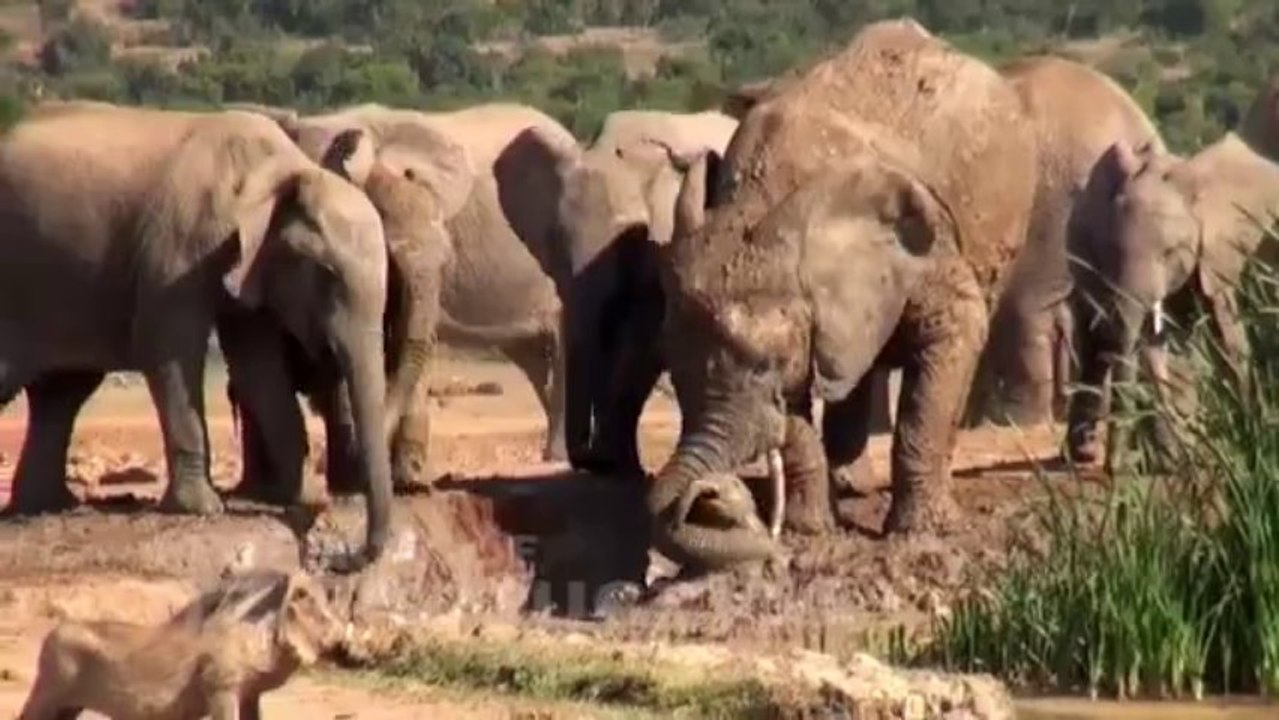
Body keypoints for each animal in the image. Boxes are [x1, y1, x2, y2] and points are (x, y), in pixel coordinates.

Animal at [0, 101, 393, 564]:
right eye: (326, 273)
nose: (344, 557)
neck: (279, 170)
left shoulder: (249, 264)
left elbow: (257, 366)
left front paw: (308, 498)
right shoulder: (179, 250)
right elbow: (169, 350)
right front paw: (203, 509)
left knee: (63, 391)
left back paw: (49, 506)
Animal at [646, 19, 1039, 571]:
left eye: (765, 365)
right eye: (670, 366)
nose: (708, 497)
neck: (761, 200)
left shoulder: (927, 245)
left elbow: (953, 334)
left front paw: (922, 535)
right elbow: (796, 410)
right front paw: (811, 534)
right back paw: (850, 486)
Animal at [1064, 85, 1279, 468]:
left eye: (1170, 253)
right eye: (1109, 251)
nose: (1114, 469)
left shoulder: (1217, 256)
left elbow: (1227, 337)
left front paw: (1252, 440)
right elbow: (1153, 343)